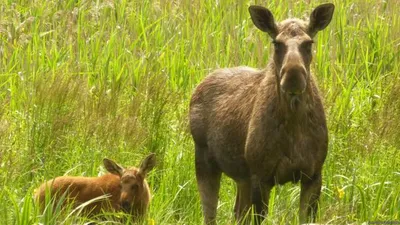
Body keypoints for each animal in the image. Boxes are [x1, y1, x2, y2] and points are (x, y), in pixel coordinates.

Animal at [191, 2, 334, 224]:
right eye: (276, 43)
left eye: (309, 43)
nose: (293, 77)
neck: (293, 122)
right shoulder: (261, 176)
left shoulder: (314, 174)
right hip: (205, 160)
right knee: (210, 214)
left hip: (242, 177)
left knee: (237, 212)